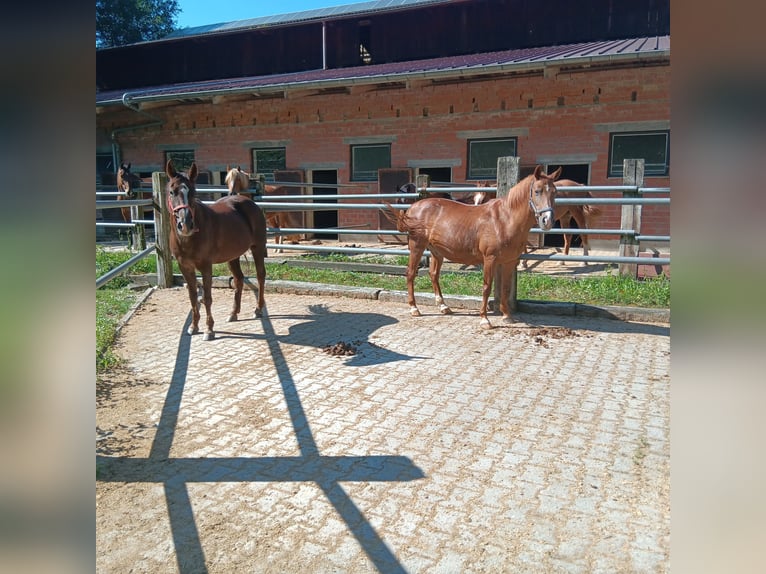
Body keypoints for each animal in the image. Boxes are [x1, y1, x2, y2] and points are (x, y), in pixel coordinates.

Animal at [168, 161, 270, 342]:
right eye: (172, 191)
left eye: (193, 192)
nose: (185, 224)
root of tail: (248, 202)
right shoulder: (184, 267)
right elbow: (193, 297)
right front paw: (193, 327)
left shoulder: (205, 266)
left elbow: (207, 298)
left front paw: (209, 330)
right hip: (232, 256)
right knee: (239, 279)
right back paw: (233, 313)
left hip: (257, 248)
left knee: (260, 276)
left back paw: (258, 310)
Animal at [384, 164, 564, 330]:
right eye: (537, 191)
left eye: (555, 193)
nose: (547, 221)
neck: (504, 220)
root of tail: (413, 208)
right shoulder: (490, 259)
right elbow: (486, 287)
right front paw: (485, 319)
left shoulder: (510, 261)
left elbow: (505, 288)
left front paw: (507, 316)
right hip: (417, 247)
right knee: (410, 273)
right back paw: (414, 308)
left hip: (436, 251)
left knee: (433, 274)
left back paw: (443, 306)